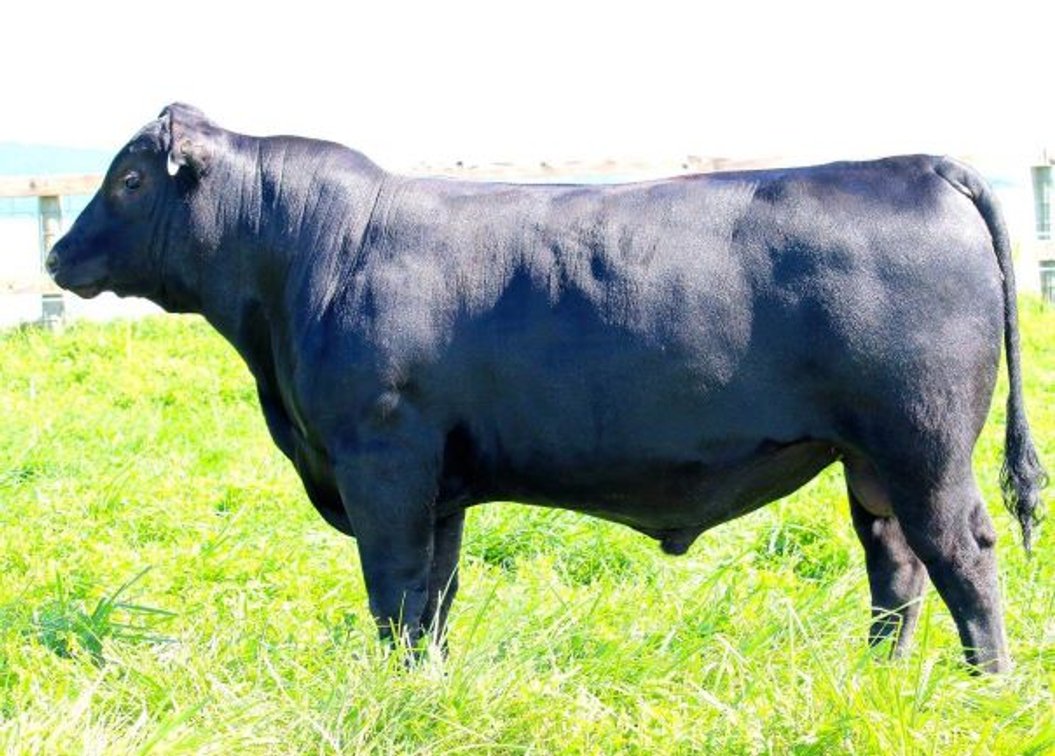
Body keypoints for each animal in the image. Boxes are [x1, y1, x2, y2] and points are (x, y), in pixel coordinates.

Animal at [48, 104, 1046, 673]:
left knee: (961, 553)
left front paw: (392, 687)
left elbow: (393, 586)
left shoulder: (383, 458)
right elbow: (434, 593)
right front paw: (426, 684)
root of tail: (914, 164)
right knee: (896, 565)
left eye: (128, 179)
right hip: (868, 459)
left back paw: (983, 686)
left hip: (922, 441)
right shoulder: (439, 483)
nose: (56, 254)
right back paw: (880, 679)